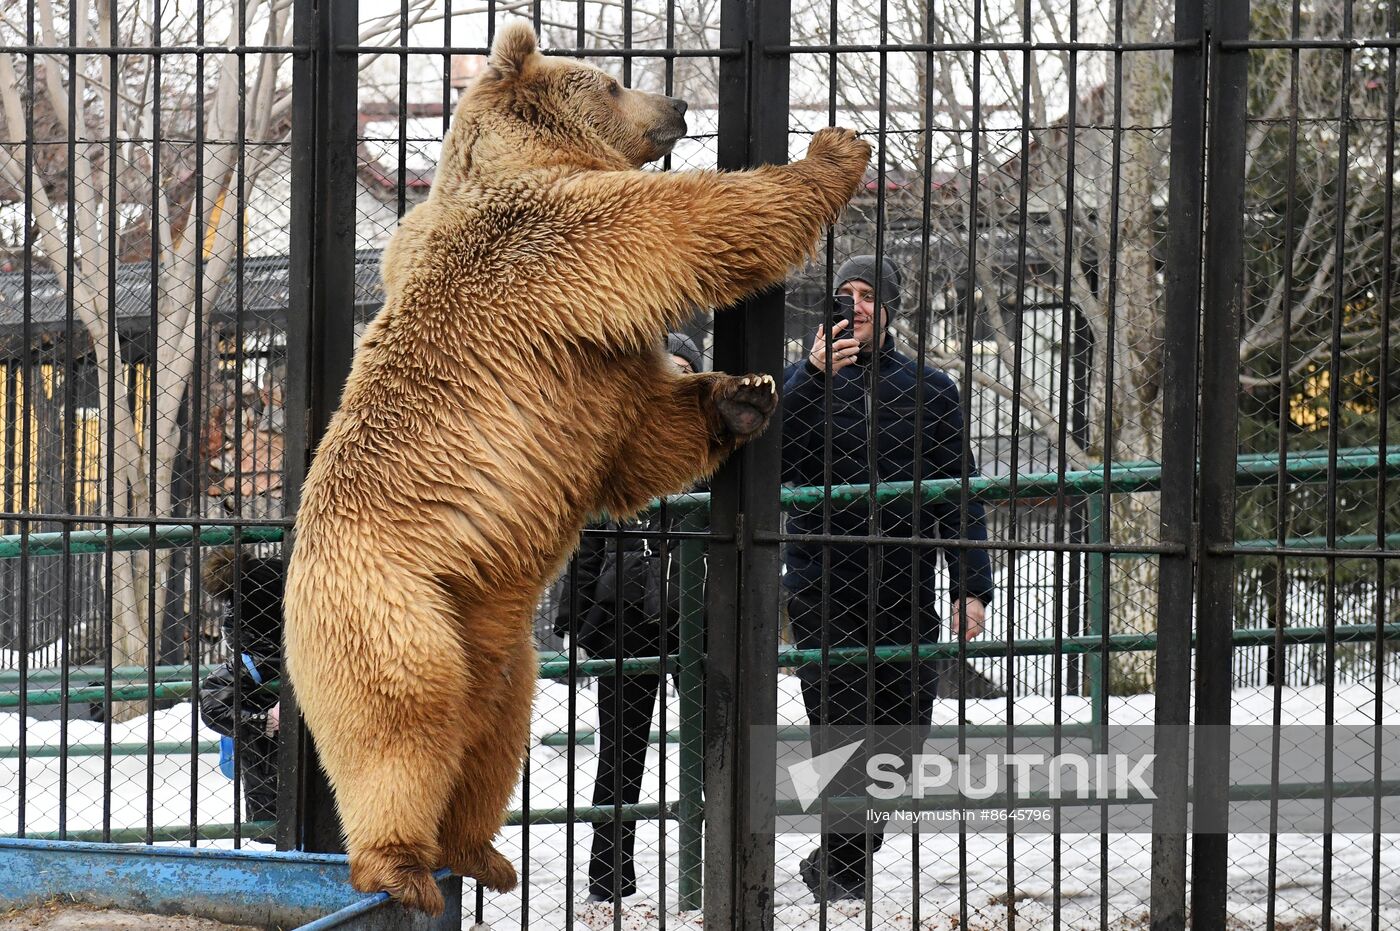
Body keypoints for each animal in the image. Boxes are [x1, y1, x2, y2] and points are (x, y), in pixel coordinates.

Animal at [282, 16, 868, 912]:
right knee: (401, 723)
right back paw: (403, 866)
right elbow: (696, 223)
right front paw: (833, 150)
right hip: (390, 609)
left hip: (491, 636)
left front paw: (743, 394)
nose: (679, 101)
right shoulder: (563, 246)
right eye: (613, 80)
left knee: (493, 730)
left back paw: (481, 852)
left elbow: (638, 444)